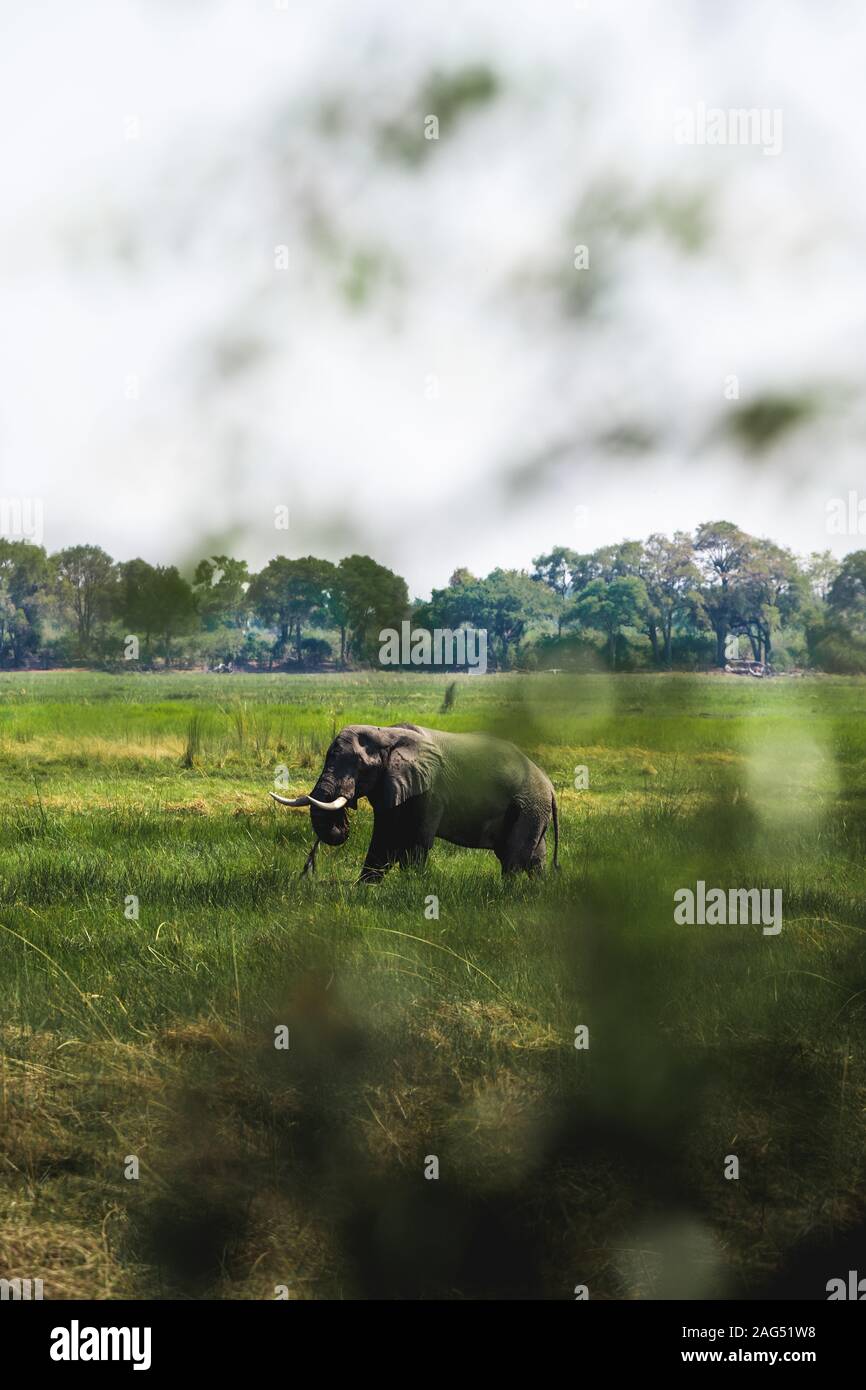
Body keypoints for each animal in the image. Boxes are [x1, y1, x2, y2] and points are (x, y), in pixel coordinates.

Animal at [269, 723, 559, 883]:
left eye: (360, 766)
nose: (344, 818)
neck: (385, 732)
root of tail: (549, 786)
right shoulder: (390, 786)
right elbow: (383, 839)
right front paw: (362, 890)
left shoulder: (431, 789)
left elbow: (416, 841)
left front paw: (411, 887)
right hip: (532, 809)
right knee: (534, 857)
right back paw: (536, 890)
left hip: (529, 806)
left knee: (514, 857)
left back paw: (508, 892)